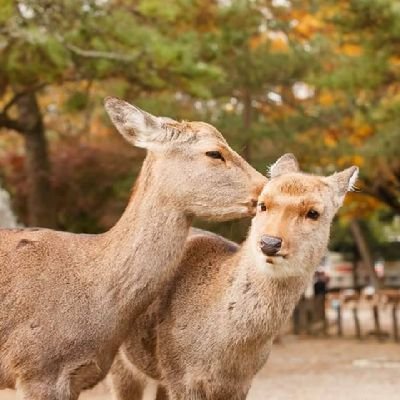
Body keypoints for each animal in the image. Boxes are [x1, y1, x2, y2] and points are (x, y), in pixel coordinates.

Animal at [108, 153, 358, 400]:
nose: (269, 243)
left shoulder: (241, 383)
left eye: (313, 213)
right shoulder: (180, 375)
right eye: (263, 204)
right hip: (120, 361)